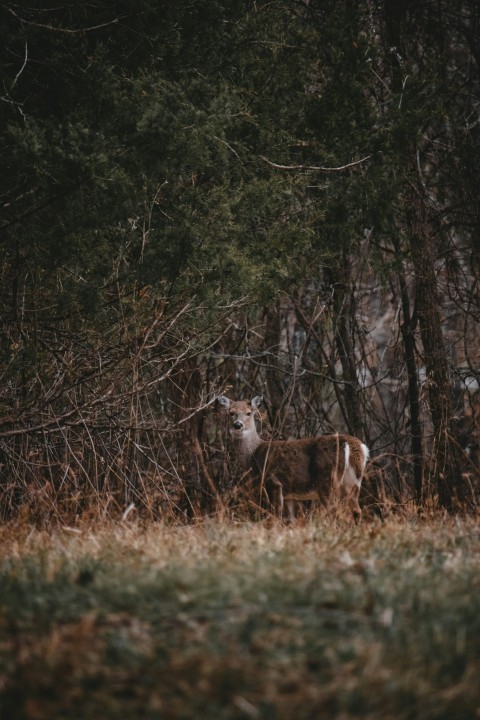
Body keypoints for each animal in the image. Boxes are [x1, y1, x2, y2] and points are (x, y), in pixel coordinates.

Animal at [218, 395, 369, 523]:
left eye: (249, 413)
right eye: (231, 412)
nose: (238, 425)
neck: (254, 455)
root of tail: (355, 445)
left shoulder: (274, 482)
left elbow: (276, 517)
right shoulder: (289, 493)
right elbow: (290, 520)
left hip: (327, 479)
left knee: (334, 511)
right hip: (353, 482)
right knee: (357, 511)